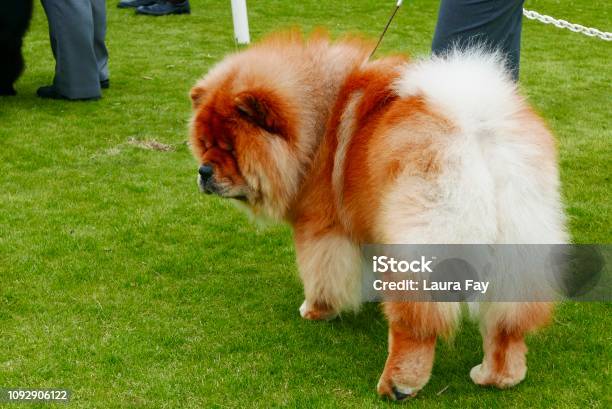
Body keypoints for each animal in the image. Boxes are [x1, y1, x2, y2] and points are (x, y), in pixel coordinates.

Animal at [189, 31, 568, 398]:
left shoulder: (321, 227)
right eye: (204, 144)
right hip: (517, 245)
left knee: (416, 326)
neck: (317, 121)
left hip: (421, 243)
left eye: (229, 148)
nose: (203, 171)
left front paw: (316, 309)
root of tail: (476, 128)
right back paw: (497, 377)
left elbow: (321, 273)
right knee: (507, 323)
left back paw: (397, 385)